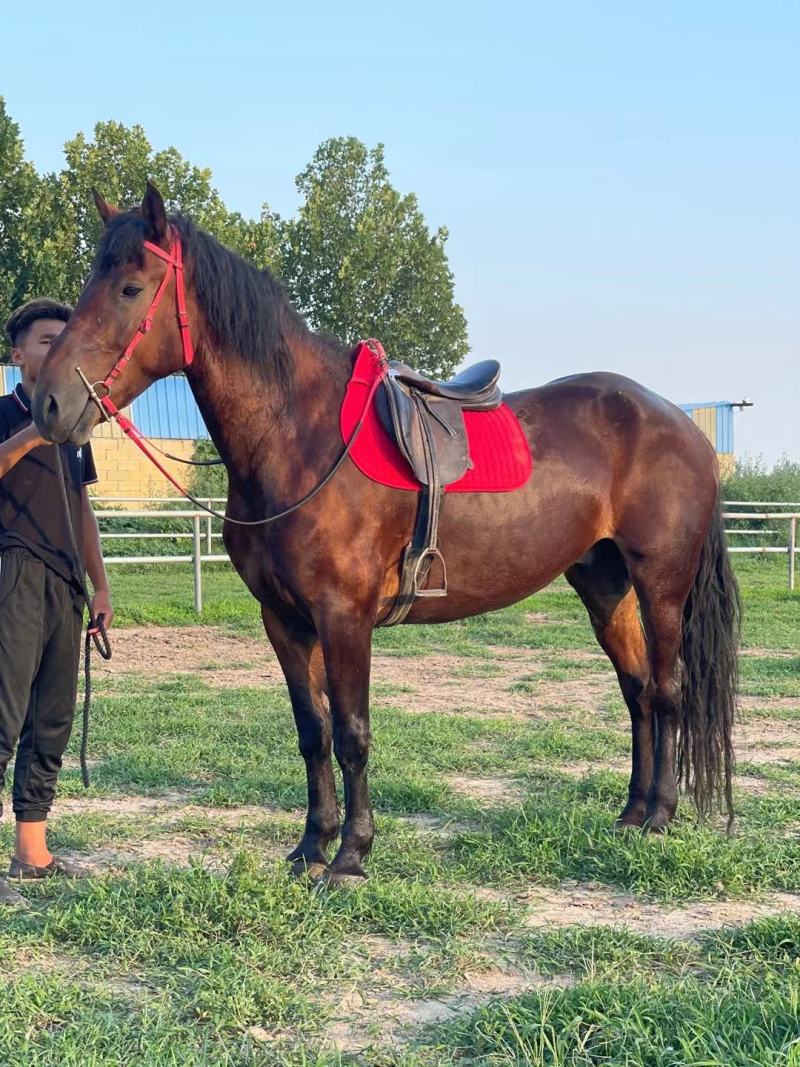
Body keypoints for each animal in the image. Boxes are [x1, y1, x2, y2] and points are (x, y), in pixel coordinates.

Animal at [33, 183, 739, 884]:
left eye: (130, 288)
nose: (49, 404)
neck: (299, 437)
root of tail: (681, 424)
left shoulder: (344, 615)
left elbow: (352, 733)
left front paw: (351, 855)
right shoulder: (284, 620)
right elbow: (312, 732)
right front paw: (311, 846)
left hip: (661, 585)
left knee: (667, 692)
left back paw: (661, 815)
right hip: (602, 583)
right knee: (637, 691)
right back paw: (631, 812)